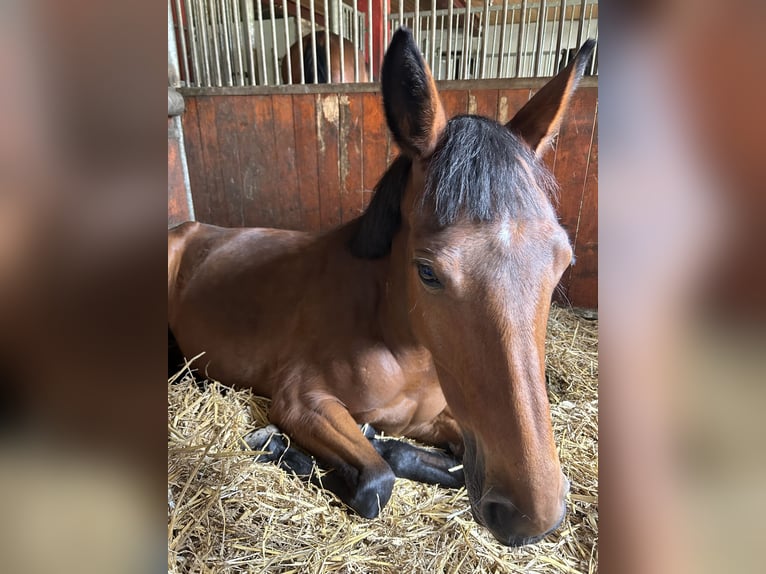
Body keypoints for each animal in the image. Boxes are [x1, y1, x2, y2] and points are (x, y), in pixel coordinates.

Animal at [169, 28, 595, 546]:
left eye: (562, 263)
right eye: (428, 271)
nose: (533, 514)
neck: (397, 343)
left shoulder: (446, 422)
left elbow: (436, 460)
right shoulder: (301, 401)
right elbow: (376, 480)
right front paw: (276, 445)